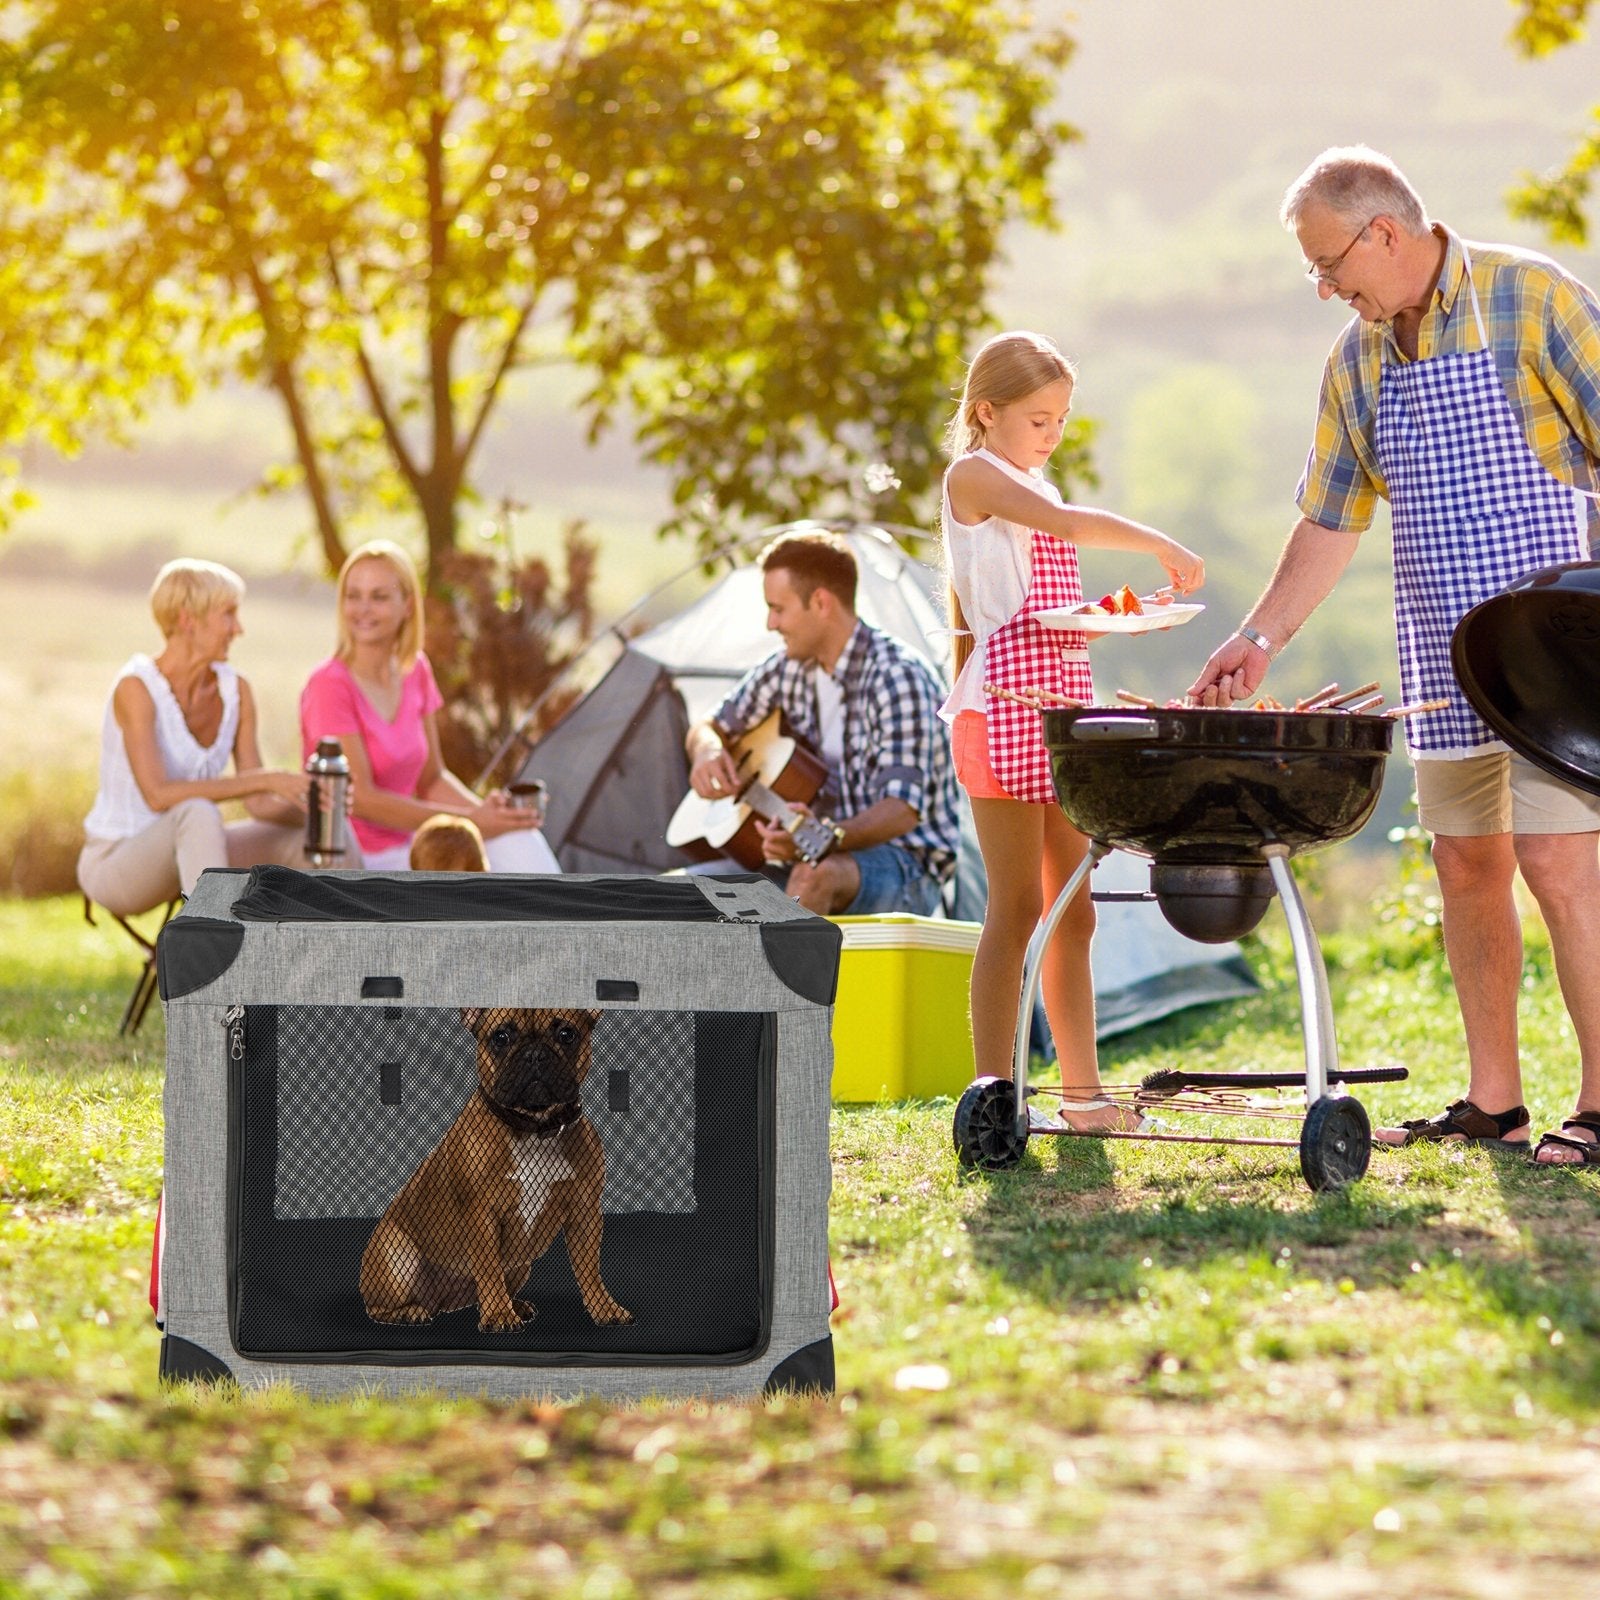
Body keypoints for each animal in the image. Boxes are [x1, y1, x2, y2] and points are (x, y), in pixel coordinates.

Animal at [360, 1004, 633, 1331]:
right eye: (500, 1037)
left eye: (567, 1034)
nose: (534, 1054)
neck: (534, 1128)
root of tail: (441, 1302)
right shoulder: (481, 1215)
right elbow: (489, 1267)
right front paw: (500, 1316)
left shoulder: (585, 1211)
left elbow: (590, 1269)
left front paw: (605, 1308)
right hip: (396, 1257)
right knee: (376, 1307)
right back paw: (410, 1311)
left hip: (519, 1266)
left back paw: (515, 1305)